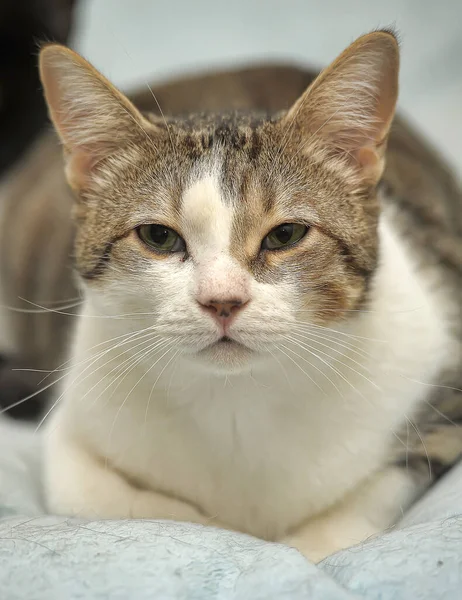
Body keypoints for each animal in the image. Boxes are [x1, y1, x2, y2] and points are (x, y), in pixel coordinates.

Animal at [36, 29, 462, 564]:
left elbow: (370, 496)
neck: (238, 401)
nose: (222, 300)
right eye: (158, 236)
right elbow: (122, 503)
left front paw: (307, 545)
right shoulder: (69, 442)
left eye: (285, 235)